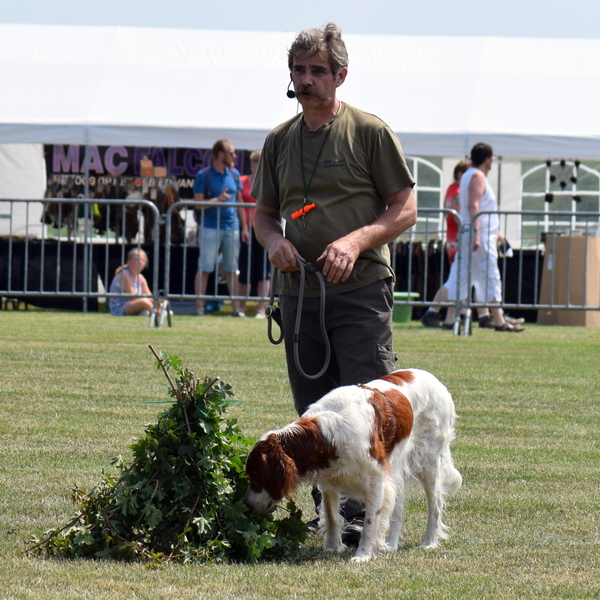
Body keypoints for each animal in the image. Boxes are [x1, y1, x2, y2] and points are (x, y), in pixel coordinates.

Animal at [245, 368, 464, 560]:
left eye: (256, 476)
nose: (246, 506)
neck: (327, 435)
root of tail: (435, 380)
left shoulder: (376, 478)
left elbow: (370, 521)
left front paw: (363, 555)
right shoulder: (330, 478)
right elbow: (331, 516)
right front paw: (332, 548)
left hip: (428, 461)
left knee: (435, 504)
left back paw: (429, 542)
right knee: (399, 509)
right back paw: (391, 546)